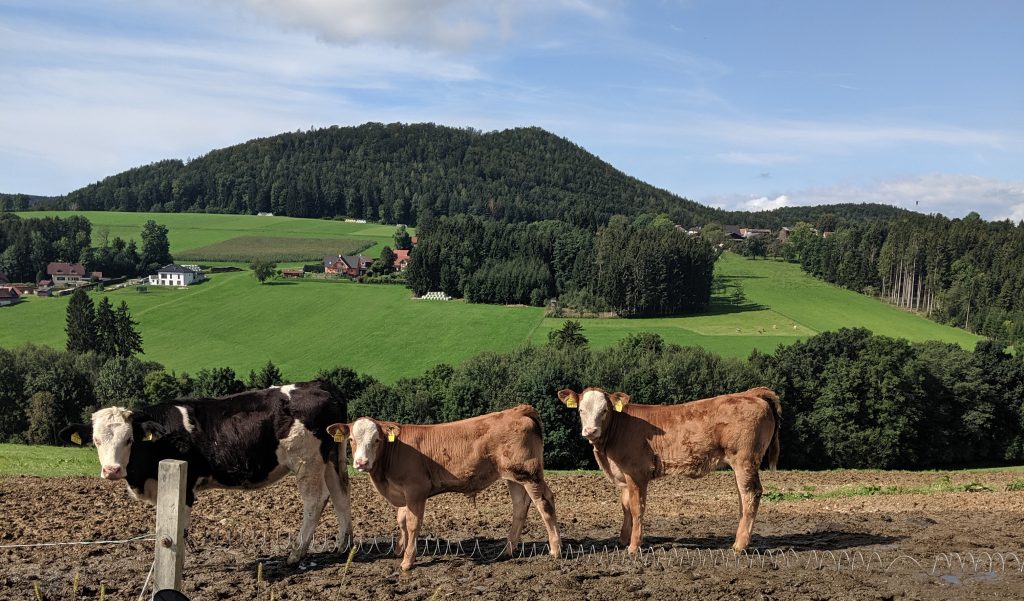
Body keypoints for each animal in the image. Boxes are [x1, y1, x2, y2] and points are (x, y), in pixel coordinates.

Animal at [58, 380, 352, 565]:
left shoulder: (185, 486)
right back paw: (343, 546)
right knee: (341, 494)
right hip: (331, 458)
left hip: (306, 461)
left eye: (129, 439)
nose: (112, 470)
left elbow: (179, 529)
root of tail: (318, 384)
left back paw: (295, 555)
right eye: (96, 441)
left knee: (315, 500)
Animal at [327, 405, 561, 569]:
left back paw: (555, 550)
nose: (361, 462)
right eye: (351, 439)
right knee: (520, 506)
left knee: (545, 503)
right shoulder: (402, 492)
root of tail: (517, 410)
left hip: (530, 474)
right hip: (514, 476)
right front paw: (399, 549)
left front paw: (407, 561)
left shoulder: (415, 491)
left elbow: (412, 523)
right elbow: (401, 519)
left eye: (377, 440)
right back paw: (507, 550)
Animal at [557, 387, 778, 552]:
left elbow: (637, 508)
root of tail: (750, 394)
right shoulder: (623, 477)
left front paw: (634, 546)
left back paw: (740, 545)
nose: (590, 430)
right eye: (580, 410)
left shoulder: (637, 473)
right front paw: (622, 539)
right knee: (743, 496)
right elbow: (626, 506)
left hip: (744, 459)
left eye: (605, 410)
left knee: (751, 493)